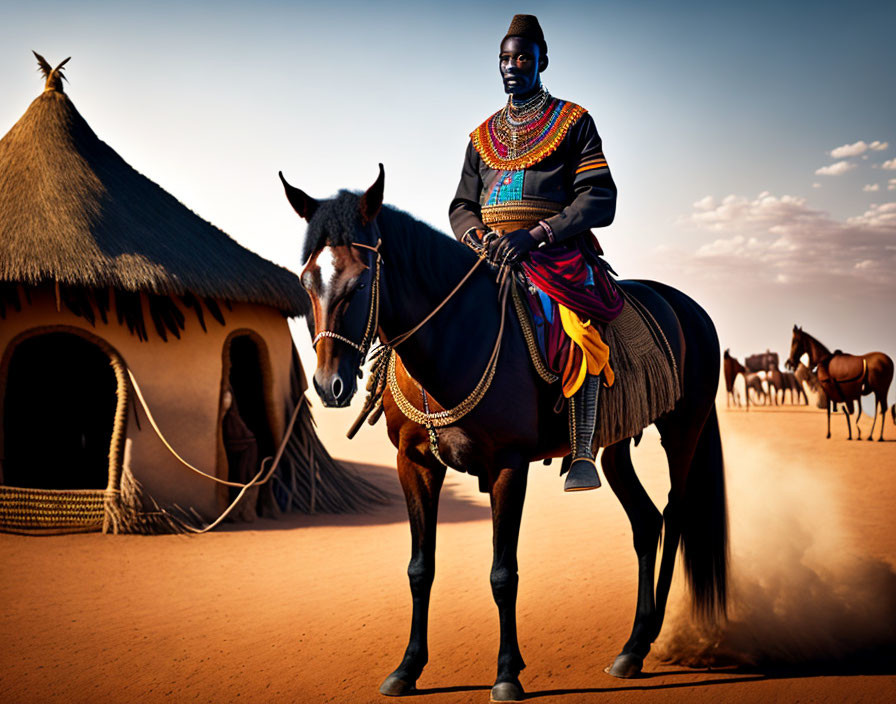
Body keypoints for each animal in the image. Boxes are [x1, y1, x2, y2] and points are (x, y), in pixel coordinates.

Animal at [280, 168, 728, 700]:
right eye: (306, 281)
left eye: (361, 279)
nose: (330, 385)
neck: (453, 341)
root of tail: (691, 309)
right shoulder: (415, 462)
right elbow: (419, 568)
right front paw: (408, 668)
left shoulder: (508, 465)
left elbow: (502, 573)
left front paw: (507, 672)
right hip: (617, 445)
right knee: (646, 523)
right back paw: (633, 647)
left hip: (683, 427)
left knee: (675, 514)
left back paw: (648, 638)